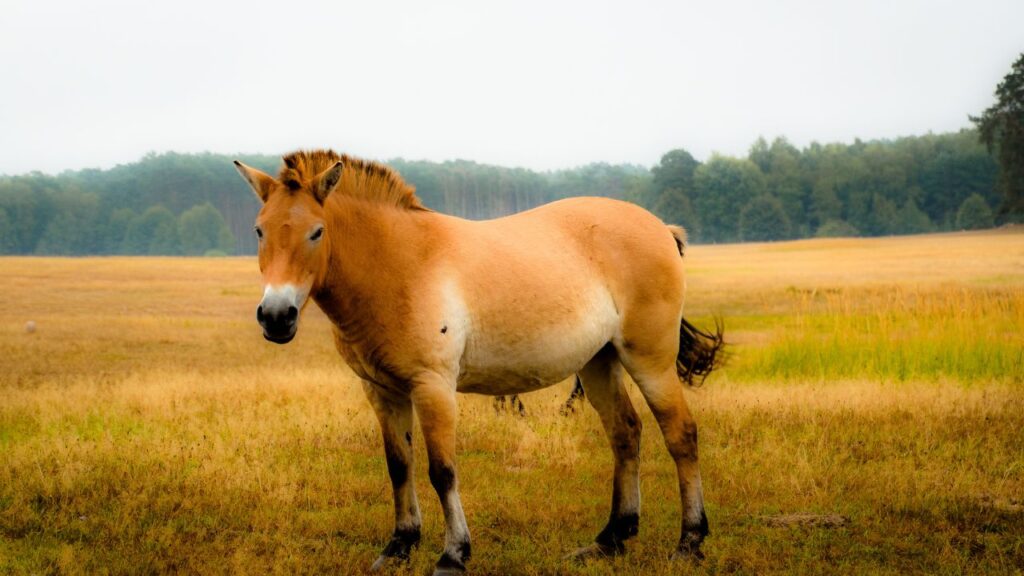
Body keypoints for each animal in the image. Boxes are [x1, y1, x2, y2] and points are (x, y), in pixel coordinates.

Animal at [233, 150, 724, 575]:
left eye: (316, 231)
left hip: (649, 360)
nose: (276, 317)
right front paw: (398, 547)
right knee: (625, 433)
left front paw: (452, 555)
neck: (399, 264)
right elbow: (399, 466)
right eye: (259, 231)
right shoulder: (382, 391)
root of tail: (660, 227)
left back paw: (690, 542)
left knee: (681, 435)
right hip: (599, 362)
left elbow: (442, 471)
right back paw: (609, 540)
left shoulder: (433, 387)